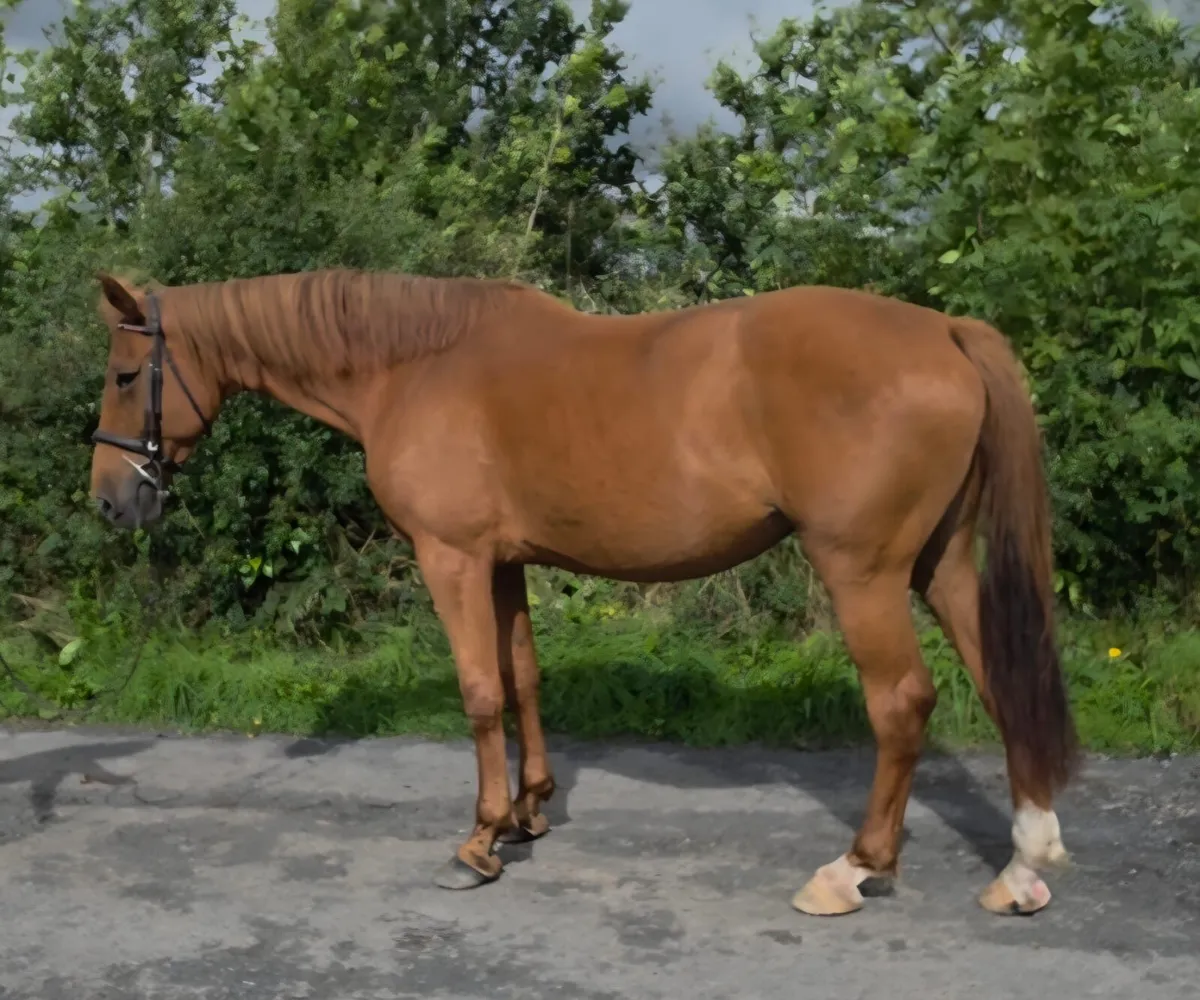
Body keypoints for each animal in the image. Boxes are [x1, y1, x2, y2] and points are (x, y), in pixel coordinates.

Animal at [87, 267, 1077, 917]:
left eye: (127, 375)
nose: (111, 499)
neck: (414, 365)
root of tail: (943, 330)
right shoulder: (505, 561)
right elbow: (523, 679)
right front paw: (529, 814)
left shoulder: (452, 558)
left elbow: (479, 693)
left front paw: (479, 841)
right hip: (939, 564)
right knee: (1000, 683)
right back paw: (1022, 865)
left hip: (863, 571)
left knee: (902, 702)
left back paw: (855, 868)